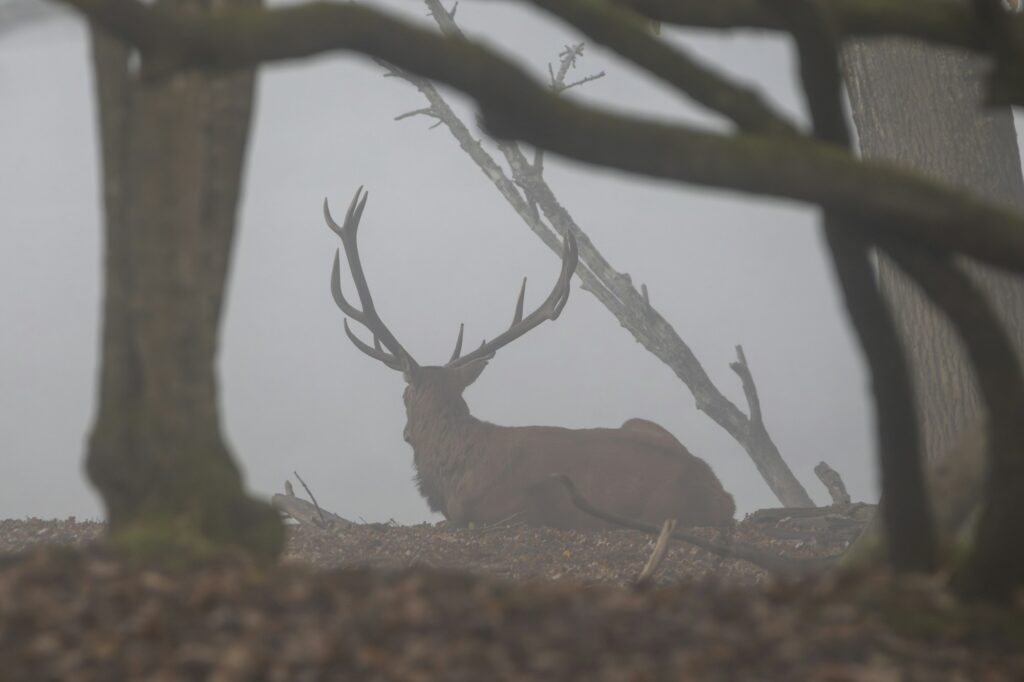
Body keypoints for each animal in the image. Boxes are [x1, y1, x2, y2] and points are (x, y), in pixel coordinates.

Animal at [325, 188, 735, 530]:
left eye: (404, 395)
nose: (406, 434)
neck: (453, 472)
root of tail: (721, 496)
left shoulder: (493, 513)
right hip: (640, 422)